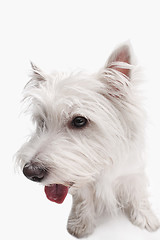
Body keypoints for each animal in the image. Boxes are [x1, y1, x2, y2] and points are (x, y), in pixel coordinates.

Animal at [16, 43, 160, 238]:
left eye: (79, 121)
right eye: (42, 121)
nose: (30, 172)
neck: (103, 167)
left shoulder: (133, 173)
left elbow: (138, 194)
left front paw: (146, 217)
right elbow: (83, 200)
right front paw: (80, 224)